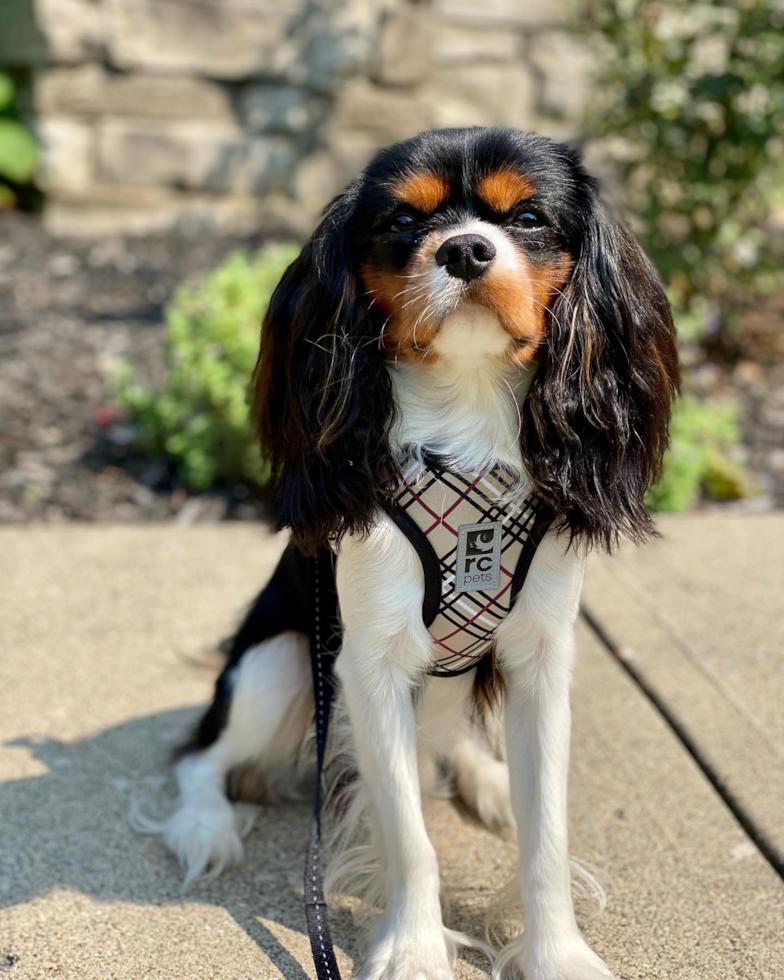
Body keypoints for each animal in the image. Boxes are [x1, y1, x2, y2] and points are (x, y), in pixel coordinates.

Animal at [142, 130, 680, 980]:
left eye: (528, 217)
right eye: (402, 221)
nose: (463, 248)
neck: (468, 417)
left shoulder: (539, 660)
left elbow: (547, 842)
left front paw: (556, 953)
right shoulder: (369, 666)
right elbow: (409, 838)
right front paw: (414, 950)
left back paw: (487, 777)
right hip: (279, 662)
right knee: (201, 756)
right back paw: (207, 824)